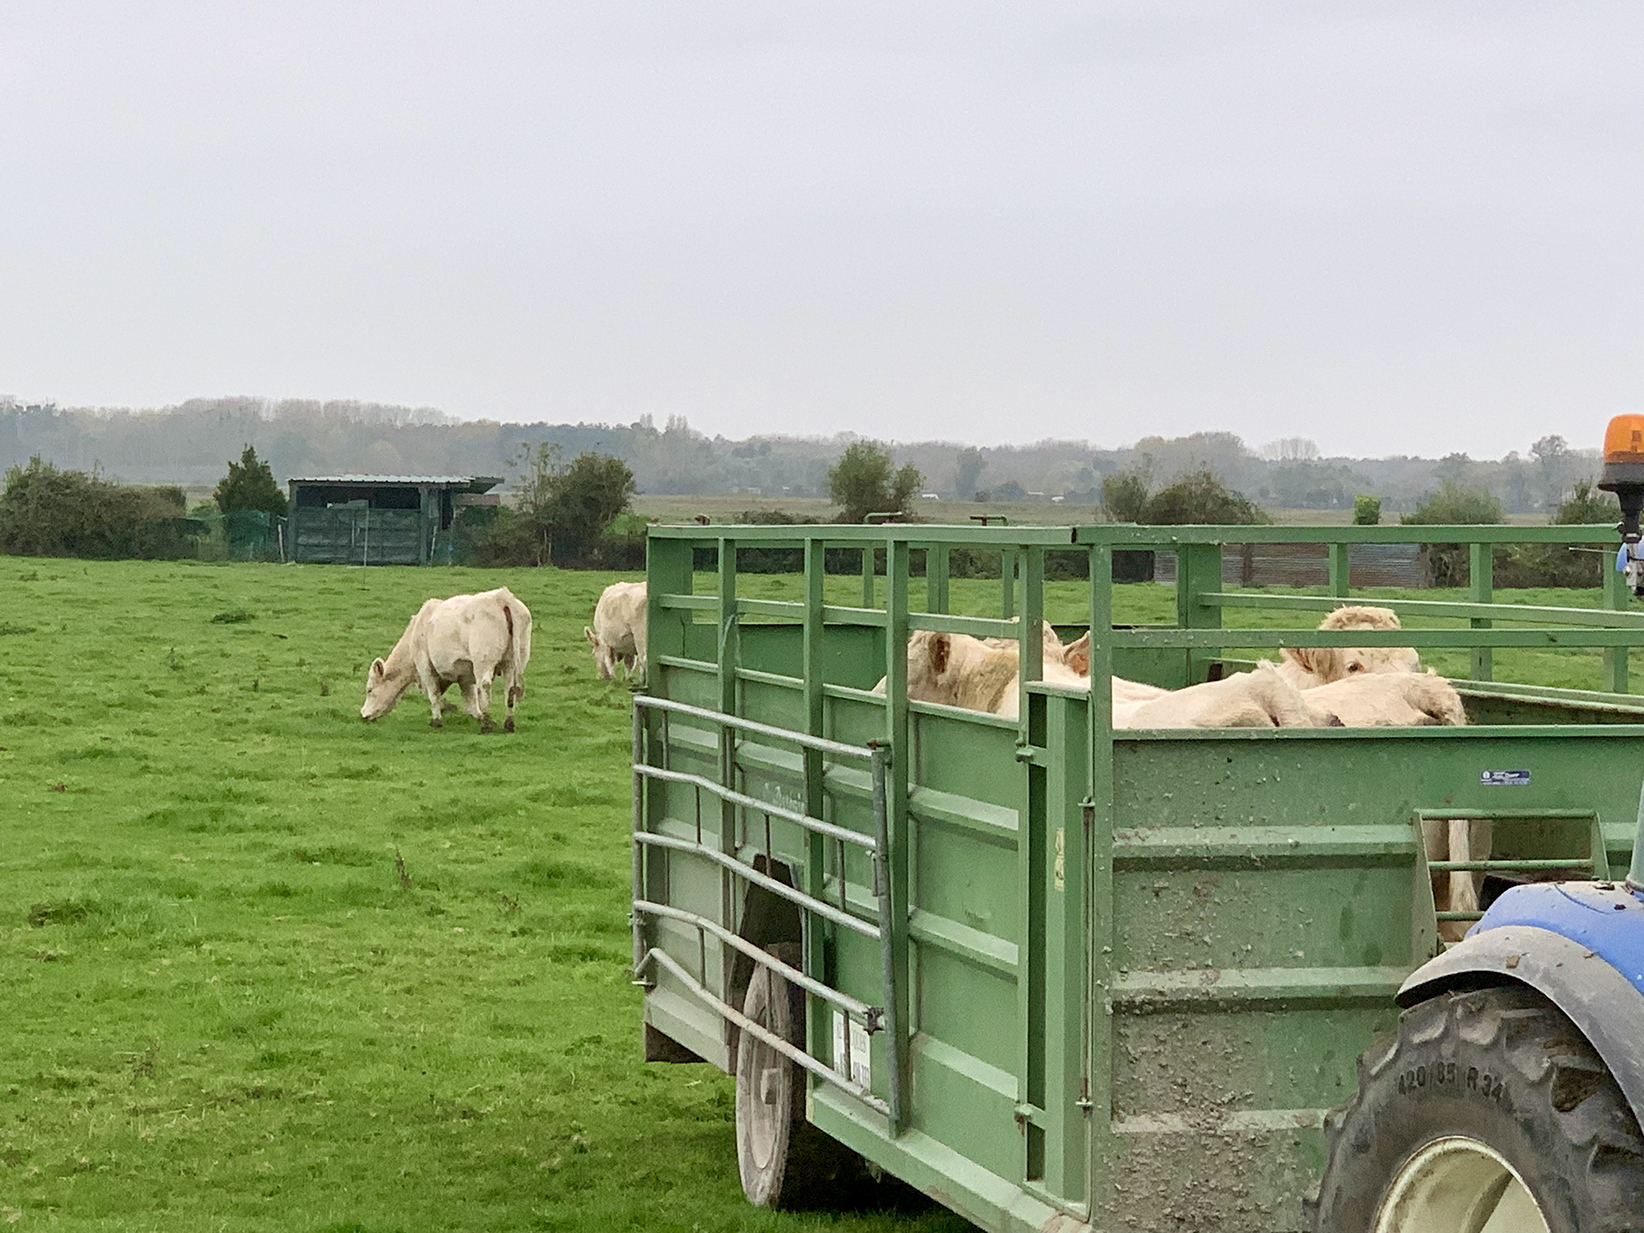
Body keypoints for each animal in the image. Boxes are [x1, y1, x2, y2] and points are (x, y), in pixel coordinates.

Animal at [361, 588, 532, 733]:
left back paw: (486, 726)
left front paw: (437, 720)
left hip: (483, 661)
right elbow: (469, 703)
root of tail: (501, 597)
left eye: (369, 690)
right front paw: (478, 717)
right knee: (510, 689)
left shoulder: (425, 667)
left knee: (485, 685)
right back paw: (508, 724)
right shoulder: (465, 677)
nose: (363, 715)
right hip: (512, 661)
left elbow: (434, 695)